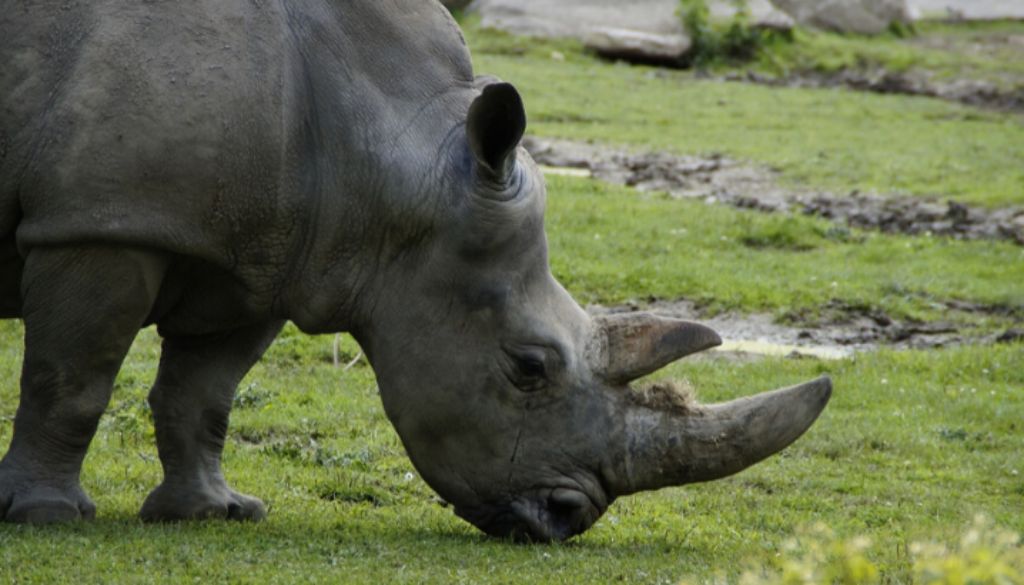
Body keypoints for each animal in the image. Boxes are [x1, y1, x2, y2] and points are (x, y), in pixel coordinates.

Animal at [0, 0, 831, 542]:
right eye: (528, 368)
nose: (567, 517)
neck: (398, 154)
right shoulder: (102, 221)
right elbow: (72, 378)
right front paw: (47, 518)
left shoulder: (264, 257)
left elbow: (204, 393)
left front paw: (214, 513)